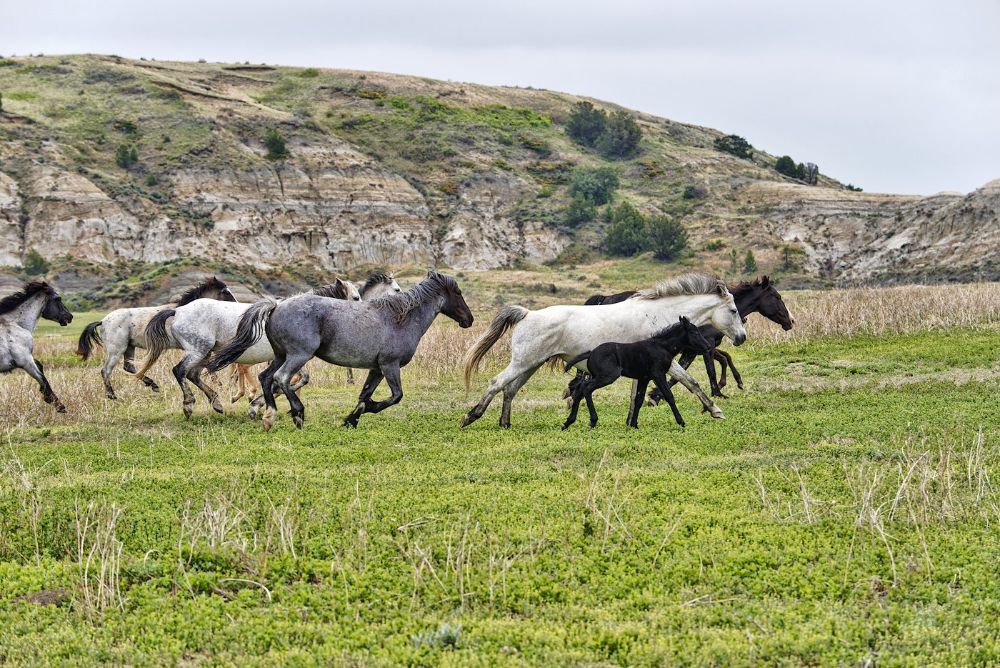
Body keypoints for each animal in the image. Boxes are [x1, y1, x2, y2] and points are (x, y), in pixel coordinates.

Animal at [0, 281, 74, 412]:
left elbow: (40, 366)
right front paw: (58, 405)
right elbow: (43, 379)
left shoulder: (28, 358)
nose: (69, 316)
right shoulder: (25, 361)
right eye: (58, 298)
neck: (15, 325)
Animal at [76, 277, 236, 399]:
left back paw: (153, 385)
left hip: (129, 347)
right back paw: (112, 396)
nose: (237, 305)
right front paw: (219, 385)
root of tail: (103, 321)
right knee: (106, 370)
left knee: (129, 367)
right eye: (225, 292)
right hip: (116, 350)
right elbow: (208, 366)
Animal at [136, 278, 358, 418]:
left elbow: (296, 379)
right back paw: (189, 405)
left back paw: (217, 403)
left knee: (193, 374)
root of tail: (179, 311)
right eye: (355, 298)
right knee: (180, 371)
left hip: (205, 353)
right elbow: (287, 379)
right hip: (198, 351)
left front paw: (257, 404)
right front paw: (257, 404)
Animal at [206, 271, 474, 431]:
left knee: (266, 377)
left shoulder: (377, 369)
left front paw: (351, 419)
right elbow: (395, 396)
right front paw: (366, 411)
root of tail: (275, 306)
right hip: (298, 355)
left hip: (281, 355)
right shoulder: (390, 365)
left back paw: (268, 414)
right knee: (281, 378)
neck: (400, 319)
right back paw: (297, 415)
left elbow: (364, 395)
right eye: (458, 292)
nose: (469, 320)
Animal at [562, 317, 715, 430]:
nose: (707, 346)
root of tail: (591, 352)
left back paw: (568, 422)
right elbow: (669, 396)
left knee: (580, 389)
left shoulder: (644, 378)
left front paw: (634, 424)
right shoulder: (658, 374)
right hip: (607, 376)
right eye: (694, 333)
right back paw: (593, 421)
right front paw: (681, 422)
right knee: (586, 388)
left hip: (598, 376)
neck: (662, 347)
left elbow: (639, 399)